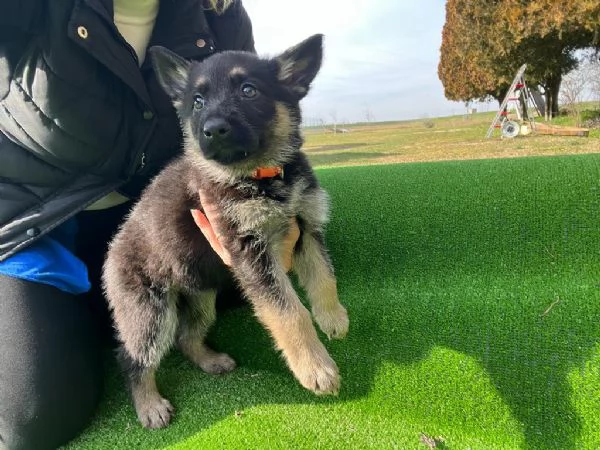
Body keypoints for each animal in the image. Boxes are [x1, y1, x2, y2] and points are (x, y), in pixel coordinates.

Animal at [101, 35, 350, 428]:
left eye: (249, 90)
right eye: (197, 101)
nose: (213, 129)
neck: (261, 176)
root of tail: (111, 253)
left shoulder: (306, 227)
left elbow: (324, 276)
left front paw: (332, 317)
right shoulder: (250, 251)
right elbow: (289, 312)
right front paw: (315, 367)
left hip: (200, 295)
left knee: (187, 336)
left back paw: (211, 361)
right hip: (150, 314)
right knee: (133, 357)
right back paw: (149, 405)